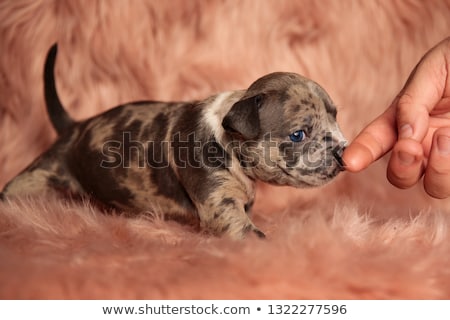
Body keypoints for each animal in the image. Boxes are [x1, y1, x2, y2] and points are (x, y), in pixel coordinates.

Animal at [0, 43, 346, 239]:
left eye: (335, 116)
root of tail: (75, 126)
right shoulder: (220, 206)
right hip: (41, 172)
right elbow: (250, 234)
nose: (343, 152)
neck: (228, 142)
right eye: (299, 134)